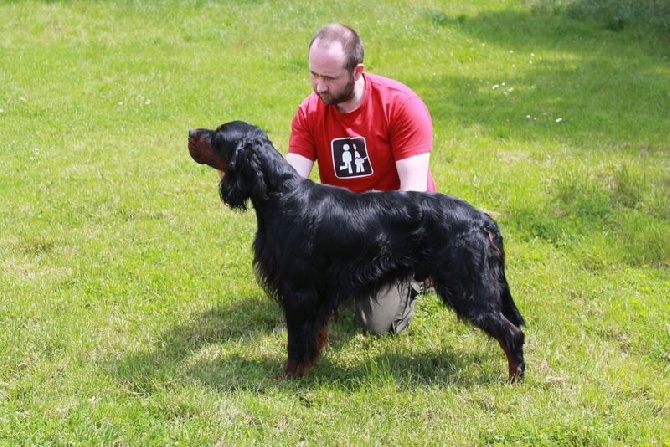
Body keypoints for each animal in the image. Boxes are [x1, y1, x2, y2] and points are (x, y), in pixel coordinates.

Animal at [186, 121, 528, 382]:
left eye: (218, 135)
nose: (190, 132)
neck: (281, 196)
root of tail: (482, 219)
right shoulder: (318, 293)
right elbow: (314, 334)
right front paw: (311, 366)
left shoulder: (299, 290)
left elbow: (297, 341)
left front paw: (291, 375)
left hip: (468, 287)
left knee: (513, 334)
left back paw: (514, 378)